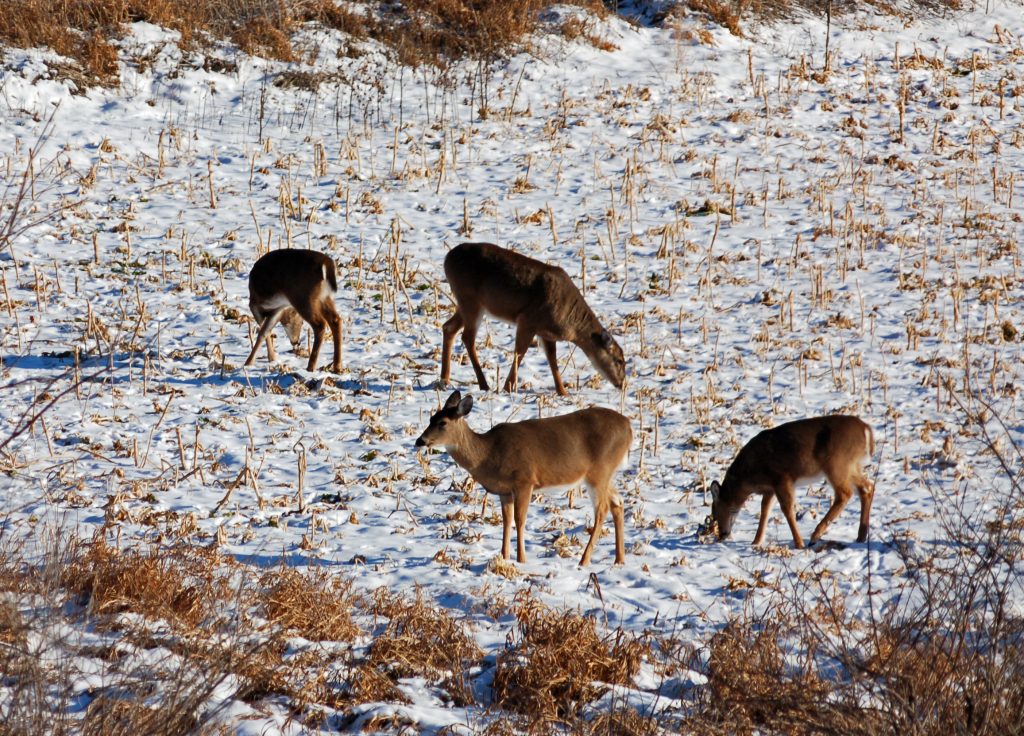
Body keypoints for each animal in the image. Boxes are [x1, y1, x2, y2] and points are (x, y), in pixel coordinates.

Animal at [415, 395, 630, 569]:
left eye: (442, 422)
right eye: (430, 418)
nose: (420, 441)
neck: (488, 454)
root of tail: (629, 427)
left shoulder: (524, 480)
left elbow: (520, 520)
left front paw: (521, 559)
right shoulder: (504, 491)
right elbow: (507, 521)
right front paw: (504, 556)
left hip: (599, 471)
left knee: (602, 510)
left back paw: (584, 560)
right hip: (604, 474)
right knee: (618, 502)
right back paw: (619, 560)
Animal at [438, 243, 622, 397]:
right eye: (619, 360)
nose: (621, 383)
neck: (570, 324)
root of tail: (447, 259)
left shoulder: (546, 333)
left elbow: (552, 360)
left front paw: (562, 392)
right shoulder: (528, 319)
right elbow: (520, 352)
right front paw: (508, 387)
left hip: (465, 302)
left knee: (448, 327)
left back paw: (444, 380)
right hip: (470, 299)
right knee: (467, 337)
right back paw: (483, 384)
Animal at [708, 413, 876, 548]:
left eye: (715, 512)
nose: (722, 535)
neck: (748, 477)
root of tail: (866, 429)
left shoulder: (782, 478)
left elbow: (787, 508)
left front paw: (799, 543)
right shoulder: (770, 487)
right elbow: (765, 510)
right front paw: (756, 541)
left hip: (836, 465)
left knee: (845, 493)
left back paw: (815, 537)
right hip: (851, 466)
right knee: (867, 487)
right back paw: (860, 537)